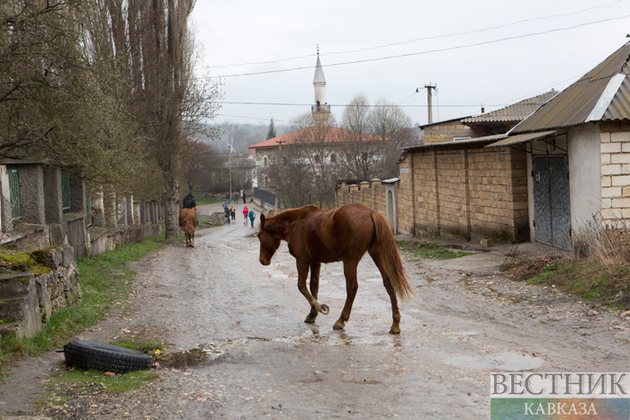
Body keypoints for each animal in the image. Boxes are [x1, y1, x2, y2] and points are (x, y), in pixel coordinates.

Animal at [258, 203, 414, 334]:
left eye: (259, 235)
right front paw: (312, 314)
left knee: (352, 287)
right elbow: (314, 287)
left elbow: (301, 286)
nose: (262, 261)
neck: (296, 223)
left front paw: (320, 308)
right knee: (389, 284)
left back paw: (341, 320)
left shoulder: (302, 260)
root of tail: (372, 213)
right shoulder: (315, 262)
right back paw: (395, 324)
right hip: (377, 254)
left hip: (350, 261)